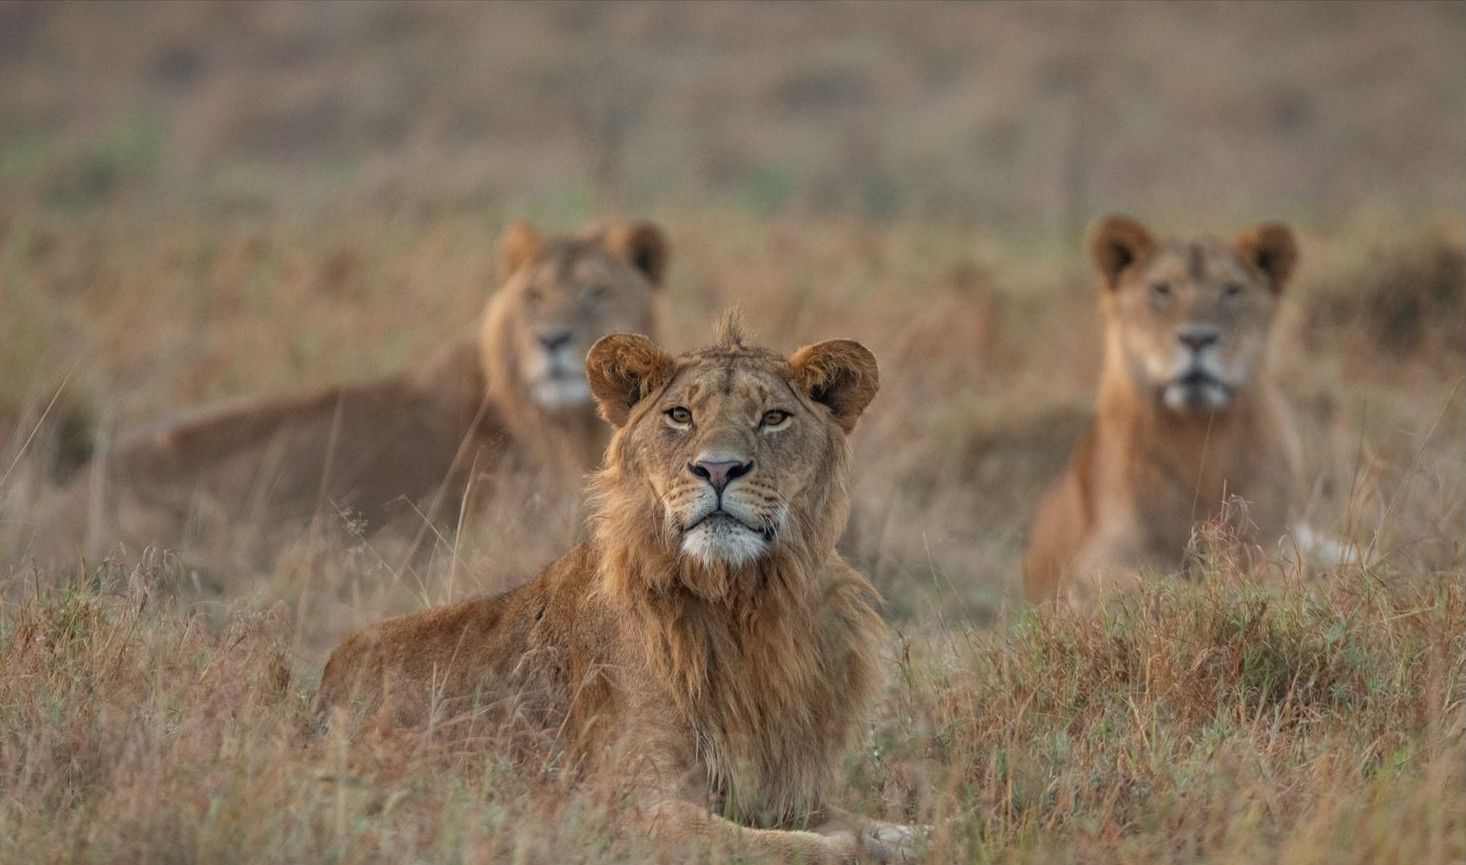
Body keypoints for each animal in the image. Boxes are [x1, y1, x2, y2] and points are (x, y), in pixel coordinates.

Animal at [314, 318, 919, 863]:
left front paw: (911, 834)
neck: (741, 602)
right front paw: (869, 847)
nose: (718, 469)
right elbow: (804, 847)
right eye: (681, 415)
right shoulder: (629, 806)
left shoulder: (783, 790)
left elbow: (866, 822)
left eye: (773, 418)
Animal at [1023, 214, 1305, 606]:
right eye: (1162, 289)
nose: (1198, 338)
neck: (1200, 438)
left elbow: (1284, 576)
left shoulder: (1278, 541)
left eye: (1231, 290)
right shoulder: (1095, 560)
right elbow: (1153, 583)